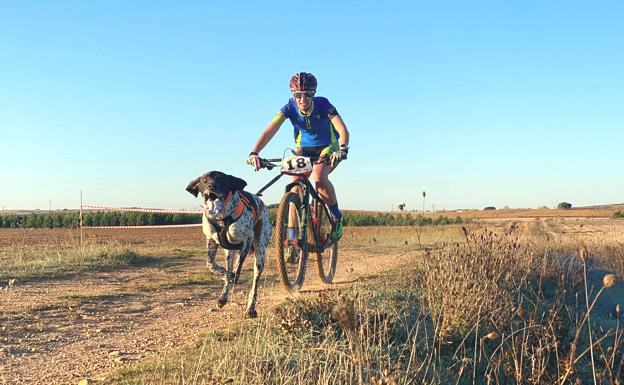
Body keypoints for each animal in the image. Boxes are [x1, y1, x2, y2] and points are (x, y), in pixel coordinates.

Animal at [186, 171, 272, 318]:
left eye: (222, 179)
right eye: (204, 180)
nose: (211, 186)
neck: (221, 217)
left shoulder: (247, 238)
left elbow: (239, 266)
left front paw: (234, 275)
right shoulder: (211, 241)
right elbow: (211, 264)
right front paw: (227, 276)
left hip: (259, 252)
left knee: (254, 283)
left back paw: (251, 308)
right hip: (228, 252)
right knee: (228, 267)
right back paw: (223, 296)